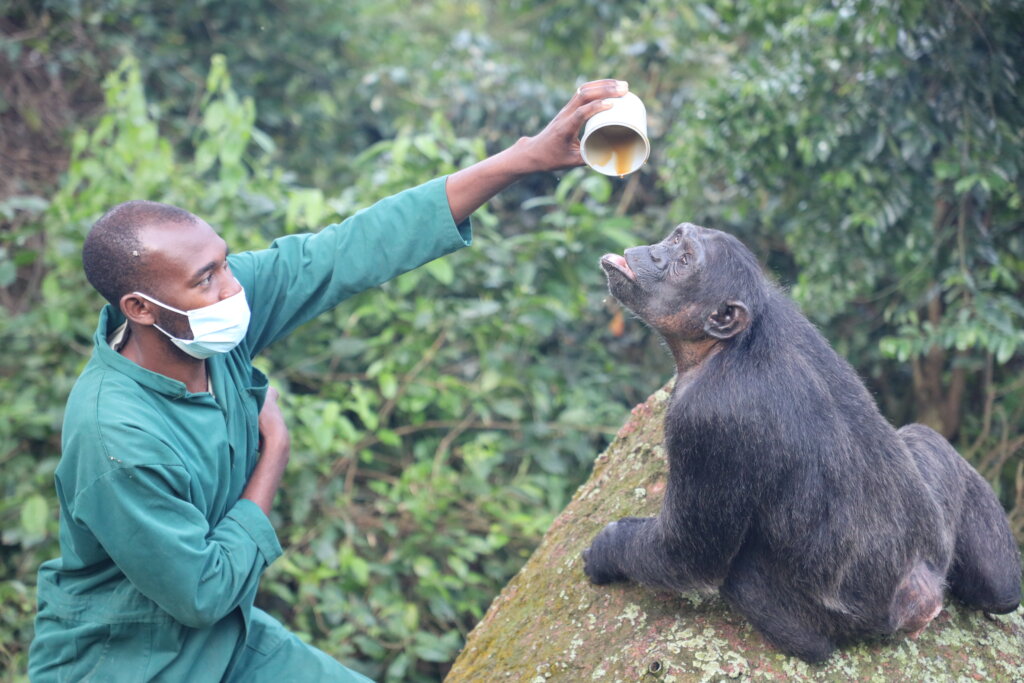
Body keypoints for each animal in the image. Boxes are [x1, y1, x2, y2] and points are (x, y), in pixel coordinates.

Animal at [583, 223, 1022, 662]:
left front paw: (605, 549)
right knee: (926, 441)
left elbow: (686, 554)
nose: (656, 253)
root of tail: (923, 595)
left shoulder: (704, 421)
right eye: (675, 239)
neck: (726, 347)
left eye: (684, 261)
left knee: (743, 583)